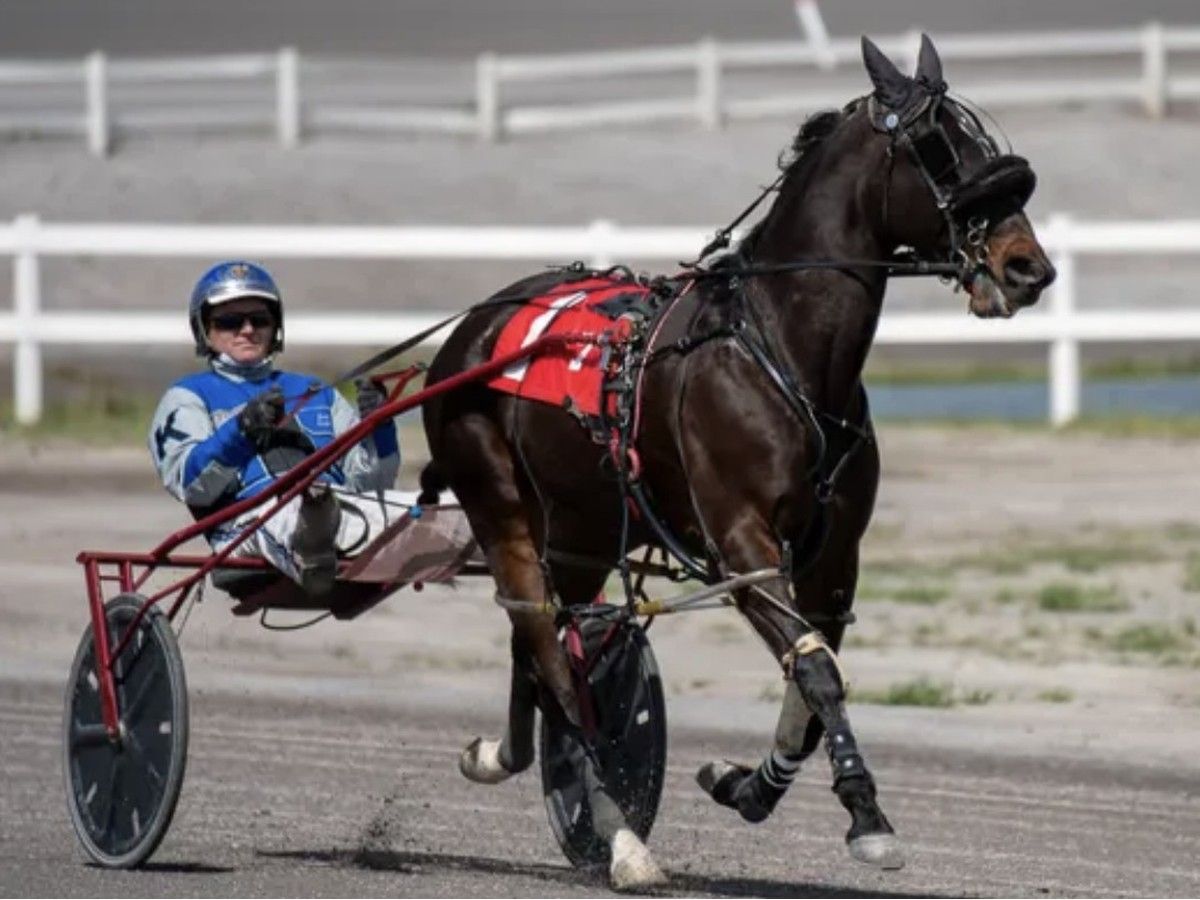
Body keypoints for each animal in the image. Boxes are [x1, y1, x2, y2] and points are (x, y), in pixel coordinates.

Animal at [418, 34, 1055, 889]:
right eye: (940, 147)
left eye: (989, 146)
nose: (1028, 268)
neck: (782, 349)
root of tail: (475, 329)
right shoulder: (743, 547)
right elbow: (818, 672)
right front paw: (868, 818)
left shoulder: (834, 556)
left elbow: (812, 687)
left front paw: (748, 786)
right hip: (504, 510)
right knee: (550, 655)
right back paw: (620, 838)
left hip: (585, 531)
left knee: (543, 648)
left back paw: (514, 758)